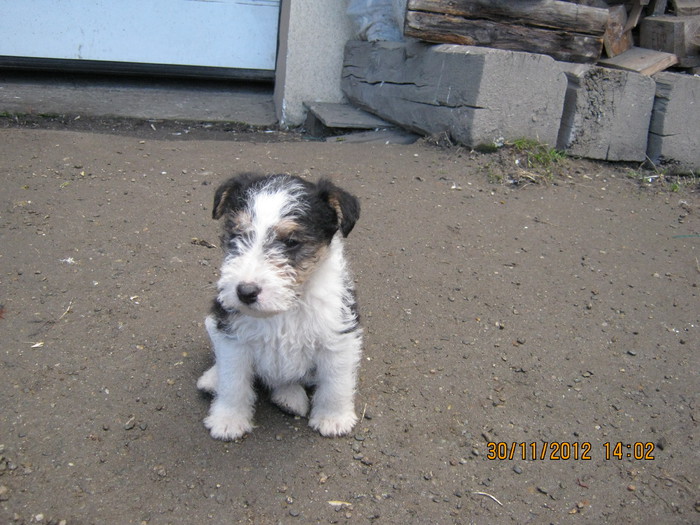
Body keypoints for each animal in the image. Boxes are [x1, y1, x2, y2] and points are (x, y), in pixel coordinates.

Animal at [196, 174, 364, 440]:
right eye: (237, 234)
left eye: (291, 241)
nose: (245, 292)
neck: (285, 308)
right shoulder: (234, 337)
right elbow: (233, 382)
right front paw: (228, 419)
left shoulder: (338, 338)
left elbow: (336, 383)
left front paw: (333, 418)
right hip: (214, 320)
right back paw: (212, 380)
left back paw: (289, 398)